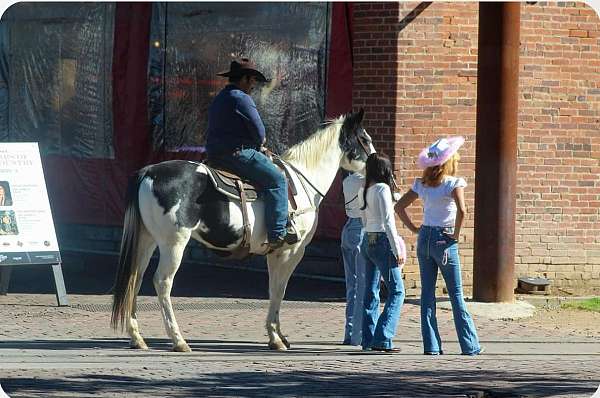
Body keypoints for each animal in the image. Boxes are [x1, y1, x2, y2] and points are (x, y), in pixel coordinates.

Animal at [111, 109, 376, 352]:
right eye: (365, 139)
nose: (379, 166)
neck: (303, 183)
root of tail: (149, 171)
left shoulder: (275, 252)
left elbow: (274, 289)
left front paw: (277, 335)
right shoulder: (292, 251)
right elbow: (279, 290)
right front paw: (276, 338)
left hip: (147, 240)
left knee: (135, 278)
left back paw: (137, 338)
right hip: (173, 243)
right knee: (163, 282)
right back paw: (179, 340)